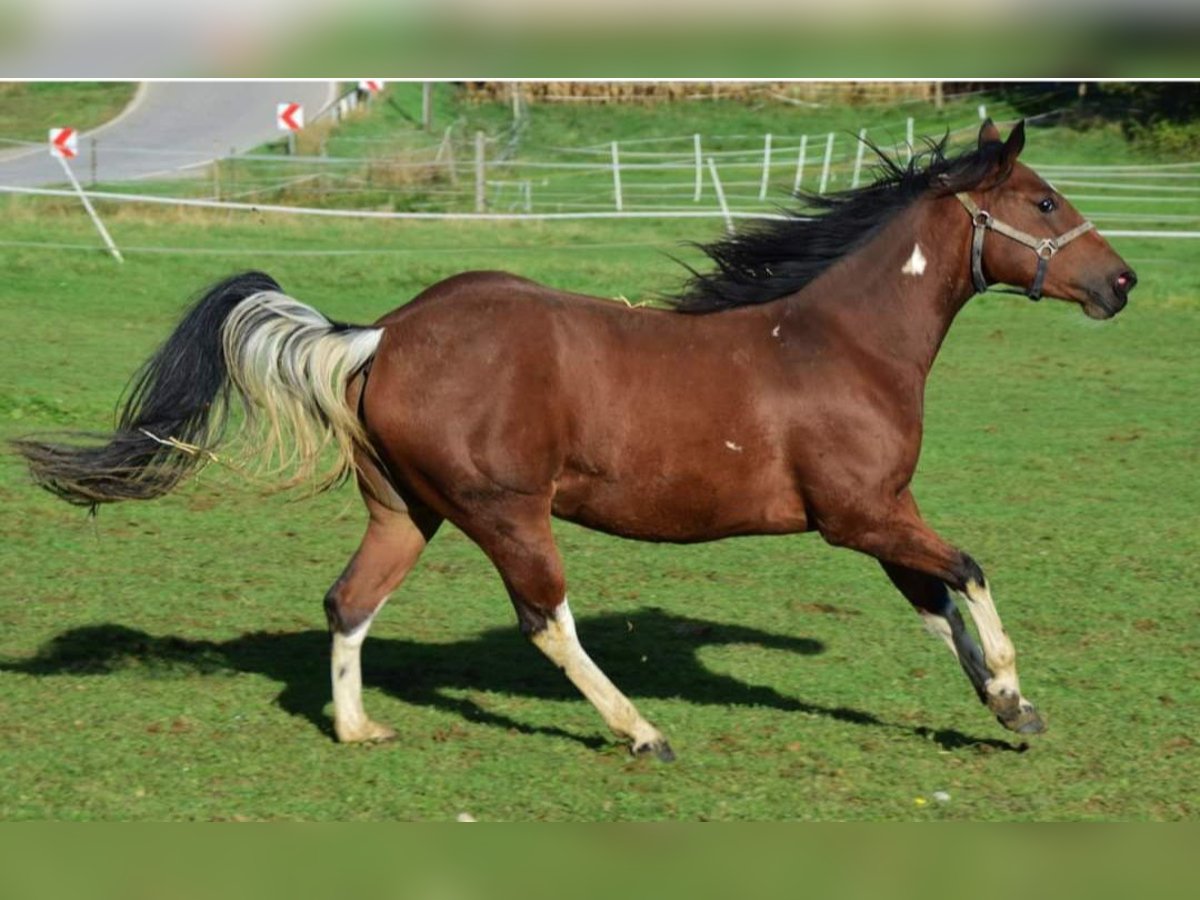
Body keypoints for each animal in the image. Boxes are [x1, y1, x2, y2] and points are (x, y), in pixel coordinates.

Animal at [11, 123, 1132, 763]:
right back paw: (643, 732)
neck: (840, 344)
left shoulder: (879, 517)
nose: (1121, 283)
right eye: (1043, 201)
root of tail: (384, 333)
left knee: (349, 601)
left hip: (407, 511)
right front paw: (1015, 693)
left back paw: (359, 728)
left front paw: (1006, 708)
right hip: (507, 512)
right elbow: (969, 574)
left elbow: (936, 603)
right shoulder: (860, 515)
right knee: (545, 621)